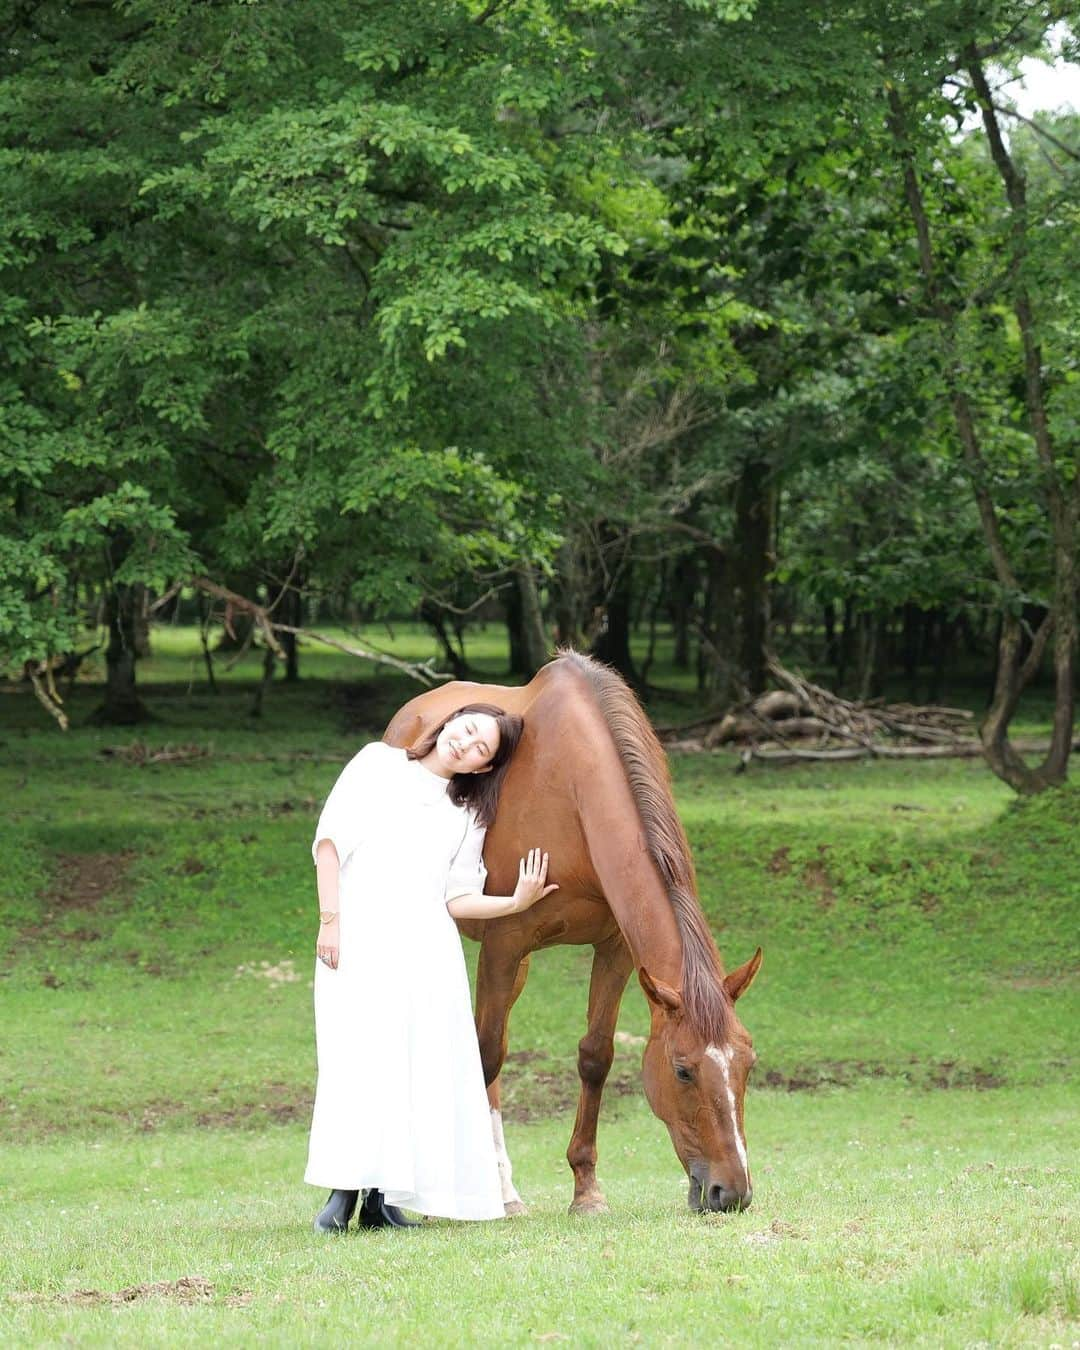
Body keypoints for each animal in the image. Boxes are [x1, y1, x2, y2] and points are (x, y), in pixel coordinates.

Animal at [383, 648, 761, 1220]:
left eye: (748, 1062)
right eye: (683, 1071)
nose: (730, 1193)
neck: (570, 789)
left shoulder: (616, 950)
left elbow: (595, 1056)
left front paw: (586, 1189)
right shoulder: (504, 942)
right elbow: (486, 1055)